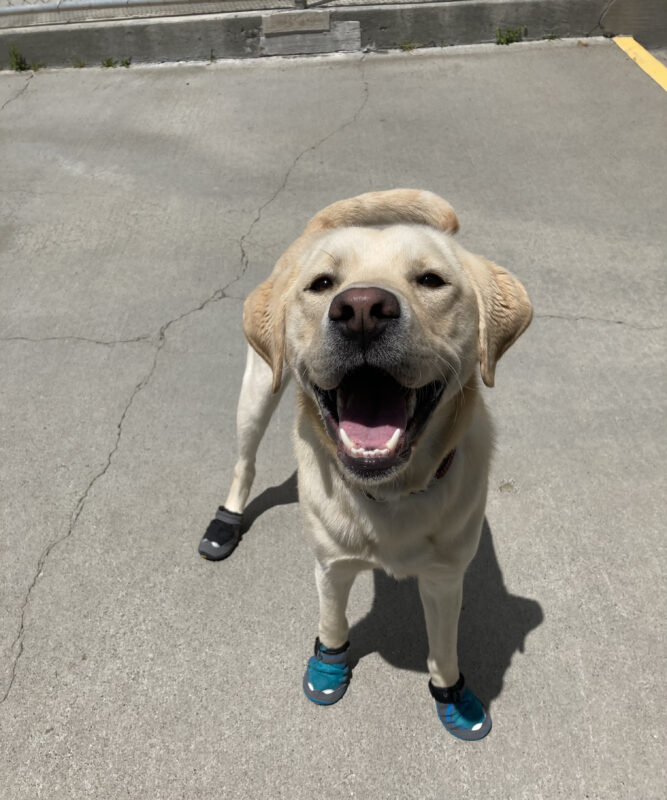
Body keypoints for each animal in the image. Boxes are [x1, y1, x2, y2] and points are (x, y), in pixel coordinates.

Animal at [202, 191, 532, 740]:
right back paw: (225, 520)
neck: (393, 493)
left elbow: (444, 649)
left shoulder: (445, 579)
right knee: (244, 462)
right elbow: (333, 624)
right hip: (258, 389)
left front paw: (452, 696)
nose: (360, 309)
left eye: (431, 279)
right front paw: (329, 668)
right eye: (322, 285)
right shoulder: (331, 567)